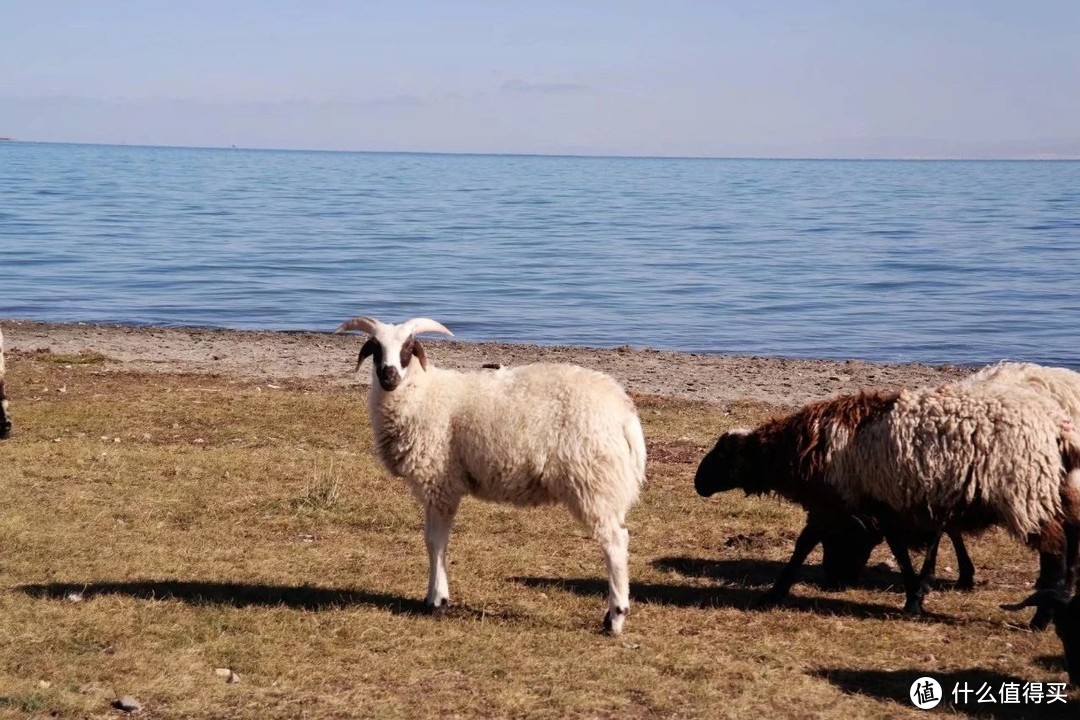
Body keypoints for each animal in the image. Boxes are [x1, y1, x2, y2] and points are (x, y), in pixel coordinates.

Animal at [332, 317, 643, 634]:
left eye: (408, 348)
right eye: (376, 348)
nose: (389, 376)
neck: (423, 392)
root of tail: (624, 414)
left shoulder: (439, 483)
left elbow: (435, 542)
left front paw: (437, 601)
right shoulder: (439, 488)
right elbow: (434, 541)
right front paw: (434, 598)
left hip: (593, 482)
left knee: (615, 543)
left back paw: (615, 617)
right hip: (603, 484)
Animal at [695, 382, 1080, 621]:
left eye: (721, 455)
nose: (698, 484)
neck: (795, 448)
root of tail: (1057, 428)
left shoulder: (840, 501)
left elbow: (805, 545)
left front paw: (774, 593)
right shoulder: (883, 505)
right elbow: (899, 550)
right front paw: (914, 597)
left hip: (1026, 495)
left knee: (1054, 553)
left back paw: (1040, 618)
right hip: (1047, 494)